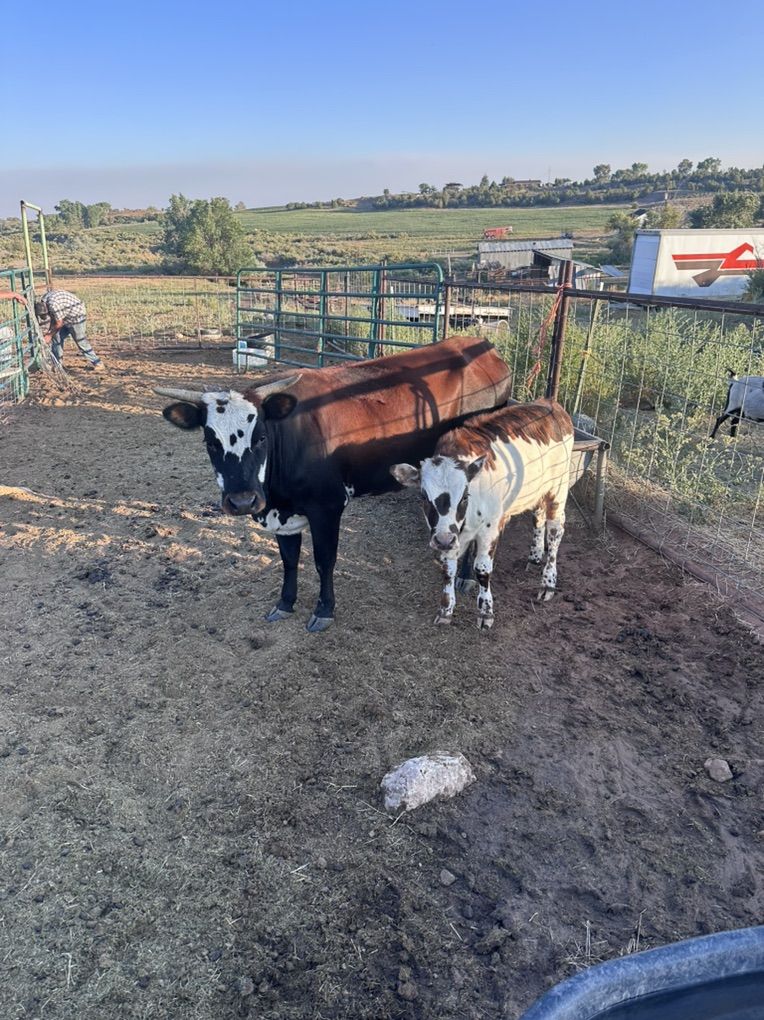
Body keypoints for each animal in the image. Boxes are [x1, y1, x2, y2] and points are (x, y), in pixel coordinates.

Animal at [157, 336, 511, 632]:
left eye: (260, 438)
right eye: (210, 442)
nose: (242, 501)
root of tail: (484, 346)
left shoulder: (327, 507)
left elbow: (323, 561)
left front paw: (324, 610)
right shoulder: (282, 513)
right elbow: (288, 559)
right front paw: (285, 603)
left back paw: (464, 576)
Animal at [391, 398, 574, 629]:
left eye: (464, 496)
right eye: (423, 496)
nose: (443, 540)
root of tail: (551, 403)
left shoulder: (489, 528)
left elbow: (482, 570)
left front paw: (486, 612)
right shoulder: (448, 535)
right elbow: (448, 569)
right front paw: (446, 609)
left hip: (559, 488)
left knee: (555, 532)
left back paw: (548, 582)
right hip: (537, 491)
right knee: (538, 518)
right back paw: (534, 556)